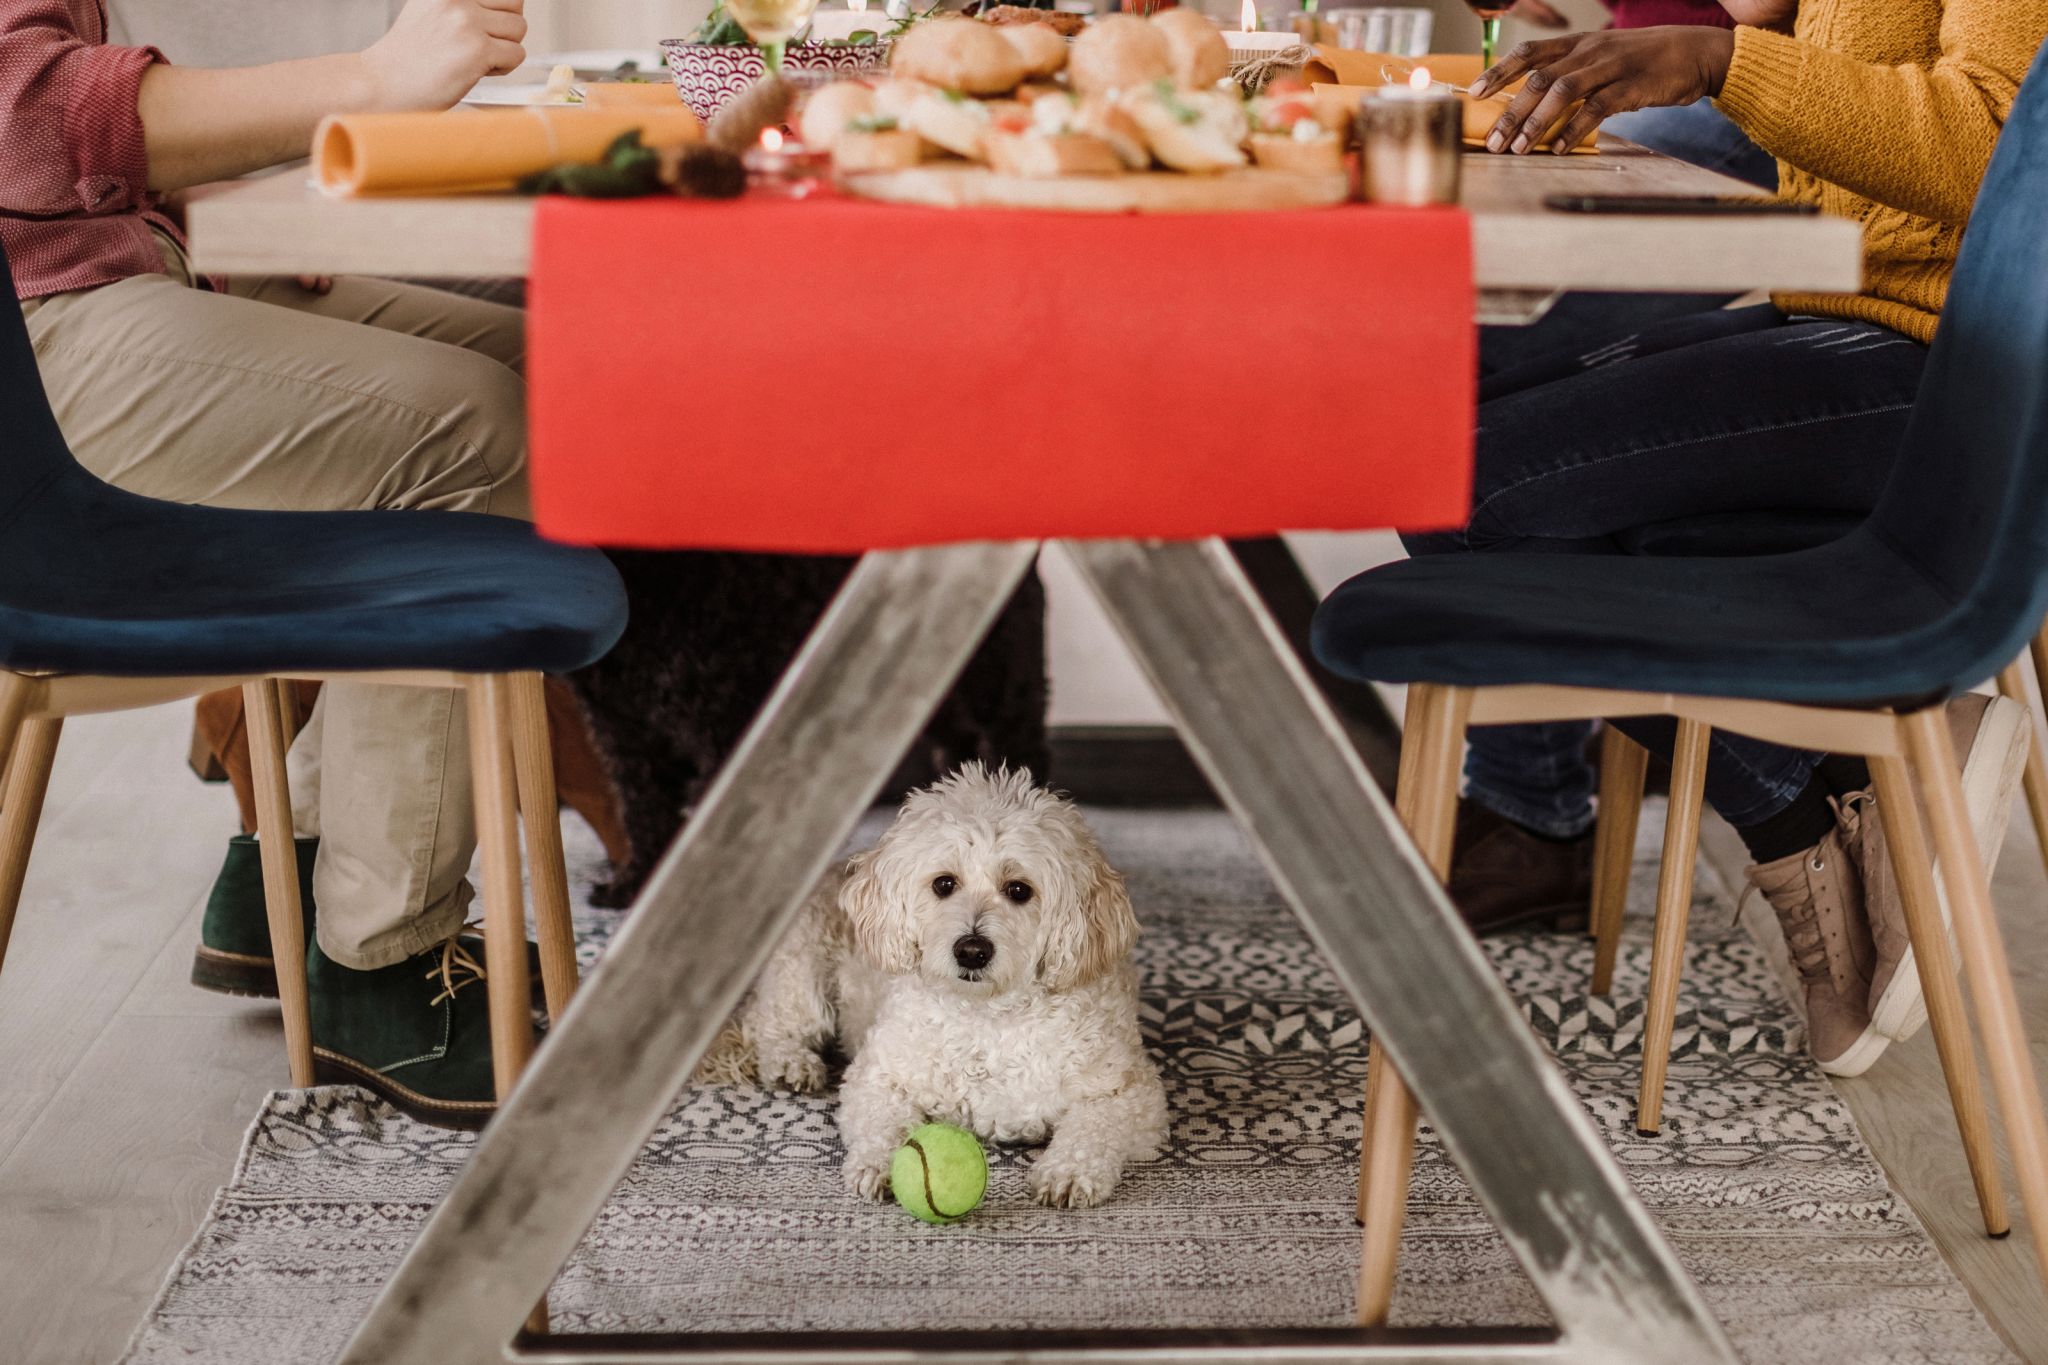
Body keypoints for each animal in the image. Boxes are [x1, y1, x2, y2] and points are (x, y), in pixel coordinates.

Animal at [716, 765, 1171, 1211]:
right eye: (944, 884)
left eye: (1019, 890)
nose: (972, 951)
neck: (988, 1018)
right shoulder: (878, 1076)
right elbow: (881, 1121)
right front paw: (883, 1164)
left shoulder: (1128, 1091)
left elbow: (1093, 1129)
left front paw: (1069, 1171)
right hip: (802, 972)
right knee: (767, 1024)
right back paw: (791, 1062)